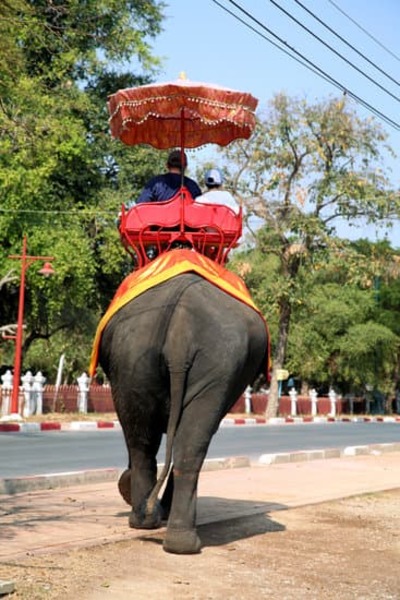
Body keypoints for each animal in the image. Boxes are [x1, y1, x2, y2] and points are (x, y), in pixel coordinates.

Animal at [99, 270, 268, 552]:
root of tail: (181, 328)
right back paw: (170, 535)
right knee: (172, 440)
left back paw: (155, 527)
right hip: (199, 358)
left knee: (146, 439)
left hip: (148, 355)